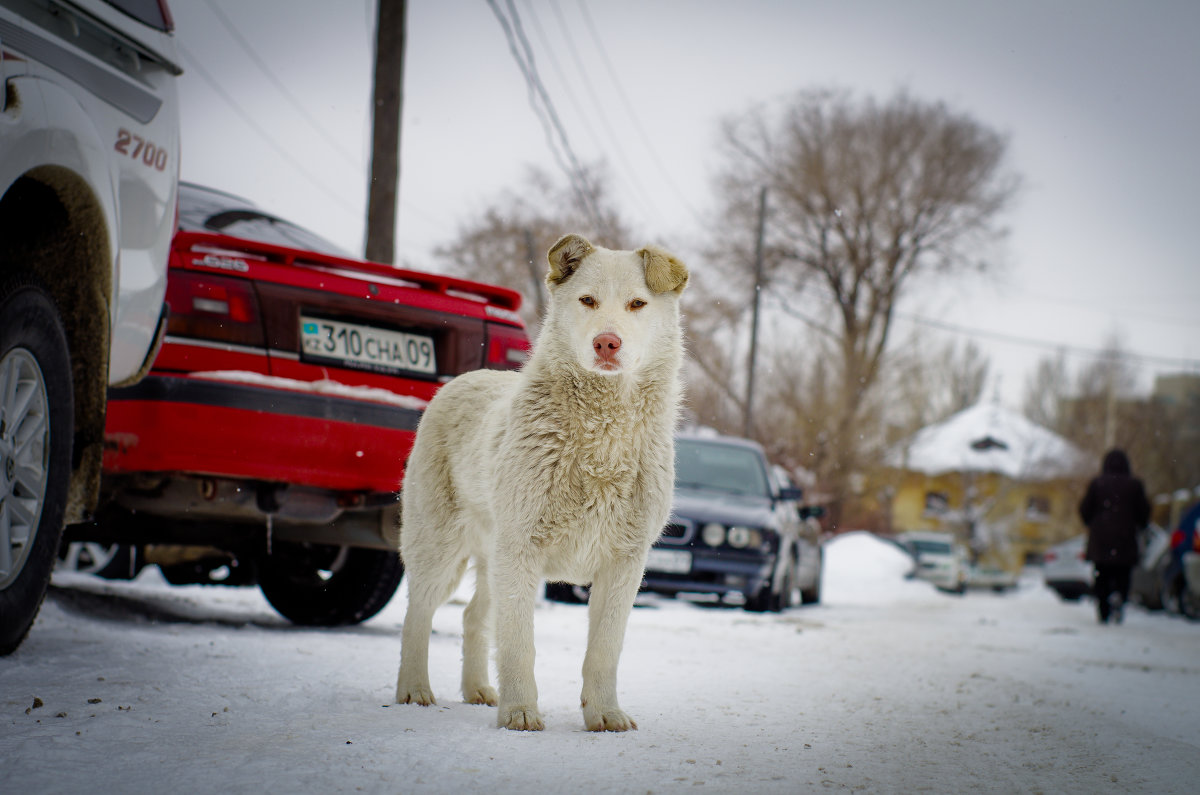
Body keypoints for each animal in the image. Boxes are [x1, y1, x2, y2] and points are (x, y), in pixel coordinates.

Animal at [396, 234, 686, 730]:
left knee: (472, 616)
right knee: (418, 613)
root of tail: (460, 381)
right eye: (587, 301)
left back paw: (477, 689)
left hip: (491, 557)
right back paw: (414, 690)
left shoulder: (624, 564)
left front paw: (605, 714)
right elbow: (519, 645)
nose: (607, 342)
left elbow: (603, 652)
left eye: (637, 304)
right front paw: (520, 713)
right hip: (440, 548)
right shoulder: (522, 550)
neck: (601, 438)